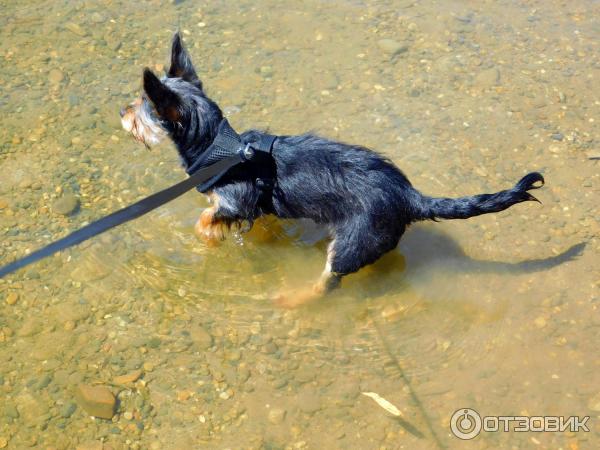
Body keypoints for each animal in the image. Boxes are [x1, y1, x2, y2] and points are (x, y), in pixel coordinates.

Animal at [120, 33, 544, 308]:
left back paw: (294, 298)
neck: (219, 146)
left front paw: (208, 235)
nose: (122, 111)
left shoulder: (234, 202)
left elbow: (208, 219)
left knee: (330, 283)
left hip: (352, 243)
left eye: (142, 107)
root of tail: (410, 197)